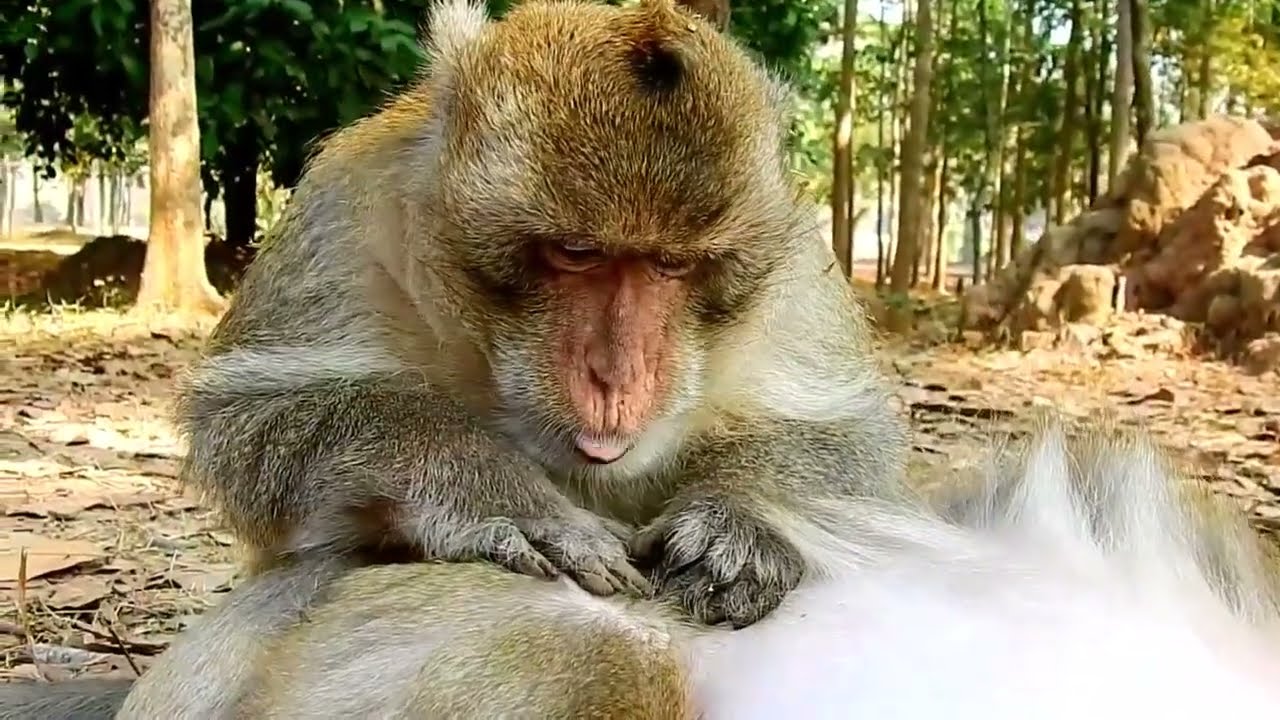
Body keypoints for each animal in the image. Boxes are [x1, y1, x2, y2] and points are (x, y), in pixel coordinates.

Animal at [173, 0, 910, 629]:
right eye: (576, 253)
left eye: (671, 265)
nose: (614, 375)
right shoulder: (346, 210)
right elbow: (250, 419)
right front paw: (497, 494)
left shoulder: (797, 270)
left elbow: (846, 435)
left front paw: (739, 520)